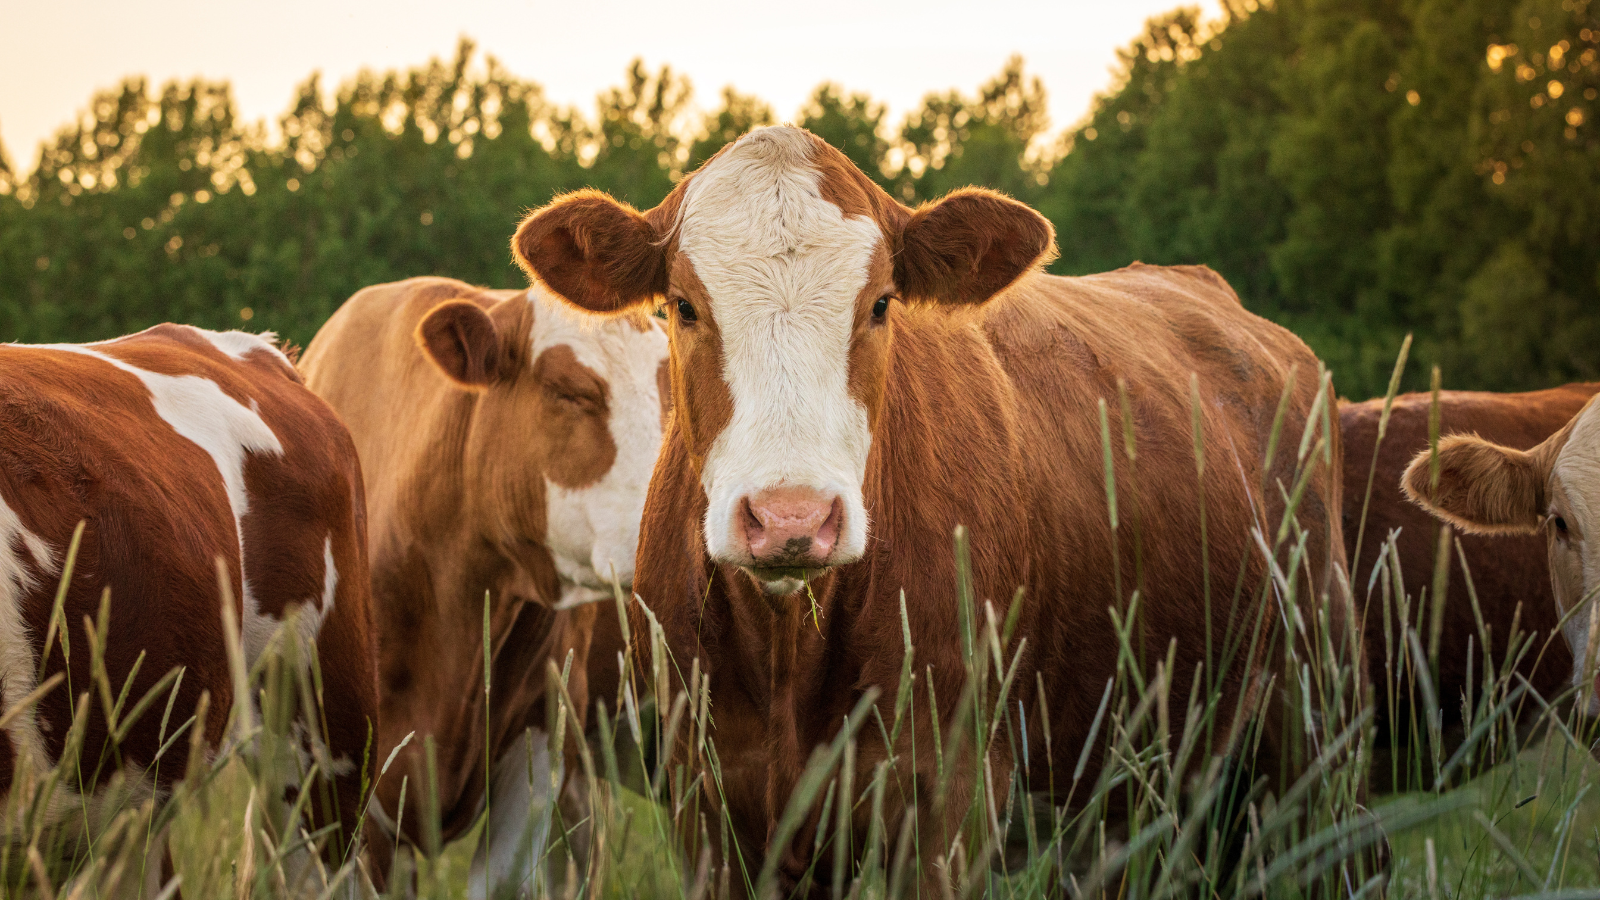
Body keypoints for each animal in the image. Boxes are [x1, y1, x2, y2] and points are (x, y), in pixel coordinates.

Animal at [505, 124, 1356, 890]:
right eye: (682, 306)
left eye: (882, 304)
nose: (791, 518)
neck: (788, 649)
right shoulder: (705, 809)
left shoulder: (947, 802)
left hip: (1308, 727)